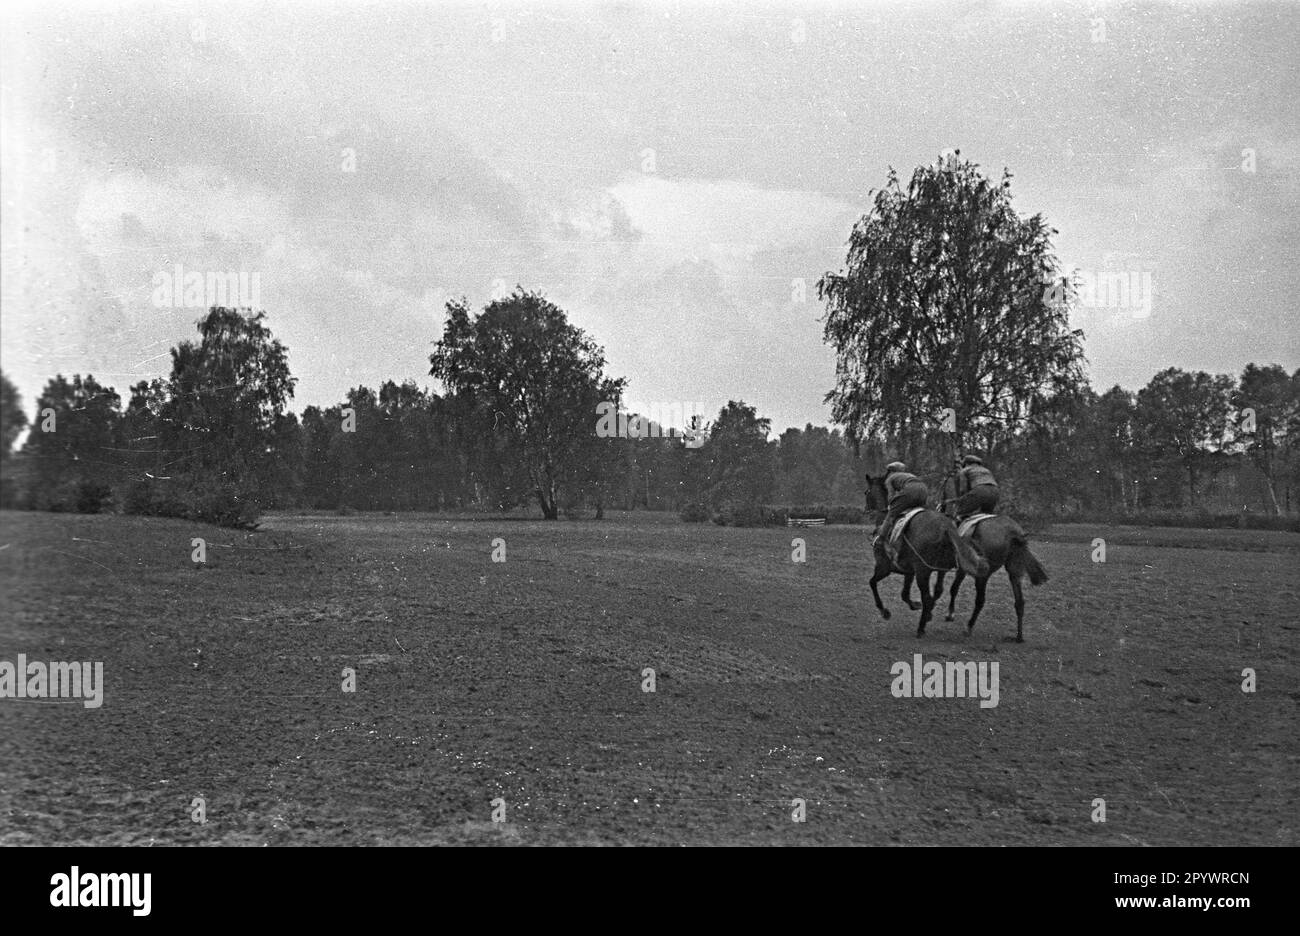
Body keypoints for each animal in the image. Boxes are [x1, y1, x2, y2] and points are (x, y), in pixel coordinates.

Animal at [863, 475, 982, 637]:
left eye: (866, 492)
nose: (865, 509)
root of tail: (945, 527)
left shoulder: (884, 567)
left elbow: (872, 583)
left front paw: (884, 611)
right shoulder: (909, 571)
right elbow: (904, 594)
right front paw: (918, 606)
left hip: (922, 571)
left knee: (927, 595)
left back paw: (921, 628)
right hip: (940, 569)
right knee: (938, 590)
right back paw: (929, 614)